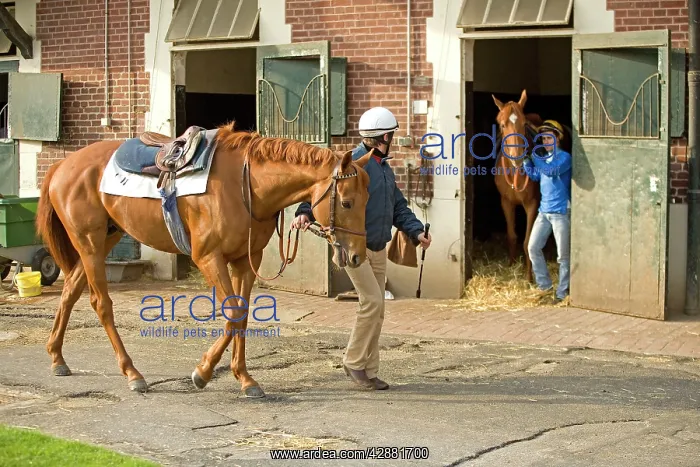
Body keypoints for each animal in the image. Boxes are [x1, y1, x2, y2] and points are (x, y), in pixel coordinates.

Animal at [35, 122, 372, 398]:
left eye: (366, 200)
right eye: (346, 202)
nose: (357, 255)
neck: (245, 185)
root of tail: (63, 164)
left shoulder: (245, 260)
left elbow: (242, 315)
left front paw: (245, 379)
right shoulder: (209, 257)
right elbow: (232, 313)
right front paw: (203, 372)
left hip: (106, 238)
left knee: (70, 290)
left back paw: (56, 357)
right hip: (89, 242)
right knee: (100, 303)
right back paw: (132, 373)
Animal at [491, 89, 542, 283]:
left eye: (523, 123)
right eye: (502, 124)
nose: (517, 157)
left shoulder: (532, 204)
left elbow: (528, 242)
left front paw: (529, 278)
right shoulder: (506, 202)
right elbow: (512, 236)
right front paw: (511, 266)